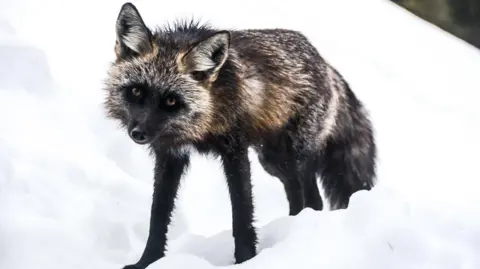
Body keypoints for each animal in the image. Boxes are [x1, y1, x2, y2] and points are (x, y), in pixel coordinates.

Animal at [103, 2, 376, 268]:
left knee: (314, 200)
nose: (138, 133)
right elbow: (158, 217)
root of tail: (325, 63)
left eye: (171, 101)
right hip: (275, 162)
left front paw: (245, 260)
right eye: (136, 91)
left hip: (297, 158)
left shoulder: (235, 151)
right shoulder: (169, 155)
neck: (203, 122)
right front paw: (147, 261)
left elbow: (242, 215)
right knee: (296, 196)